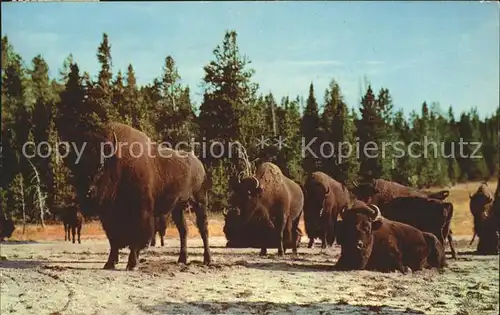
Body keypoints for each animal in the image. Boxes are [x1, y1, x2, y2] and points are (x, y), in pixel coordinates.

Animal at [82, 122, 211, 270]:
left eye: (100, 165)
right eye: (77, 165)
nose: (87, 193)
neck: (119, 164)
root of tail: (199, 164)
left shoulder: (140, 213)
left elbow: (136, 238)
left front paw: (132, 264)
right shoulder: (109, 218)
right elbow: (113, 240)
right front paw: (109, 263)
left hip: (200, 202)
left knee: (203, 229)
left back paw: (207, 260)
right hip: (177, 208)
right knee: (183, 230)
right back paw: (182, 259)